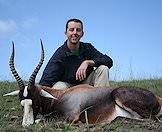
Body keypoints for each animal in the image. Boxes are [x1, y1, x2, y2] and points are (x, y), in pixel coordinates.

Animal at [3, 40, 162, 127]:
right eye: (22, 103)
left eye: (35, 101)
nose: (26, 125)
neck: (60, 97)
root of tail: (157, 98)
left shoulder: (70, 118)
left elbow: (43, 120)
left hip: (123, 99)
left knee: (150, 120)